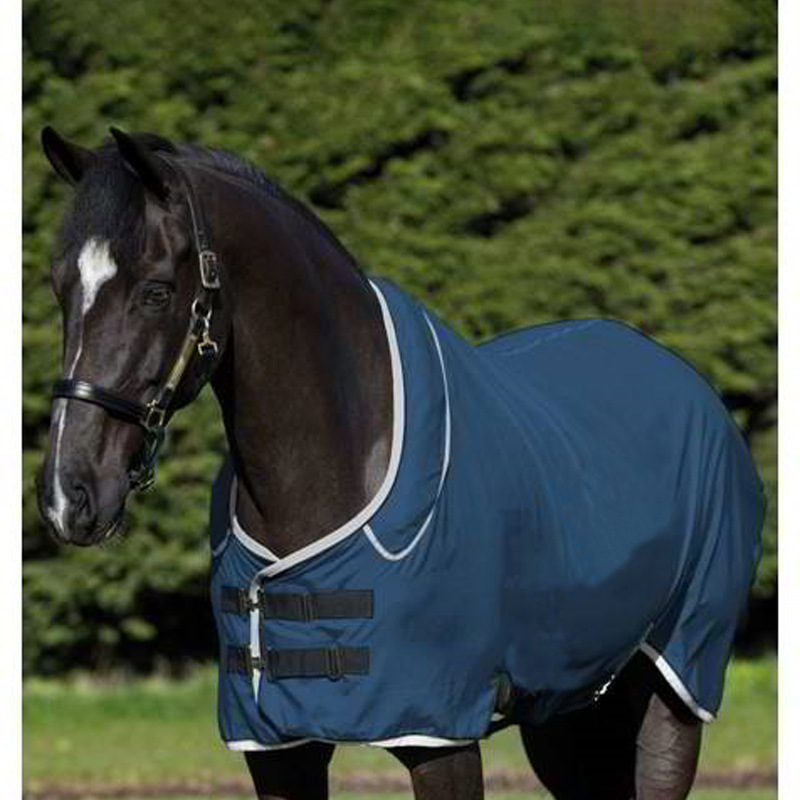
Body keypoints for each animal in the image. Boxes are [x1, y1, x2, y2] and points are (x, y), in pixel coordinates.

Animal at [37, 127, 764, 800]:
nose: (68, 494)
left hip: (675, 685)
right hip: (570, 711)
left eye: (156, 291)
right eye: (61, 287)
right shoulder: (276, 746)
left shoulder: (438, 734)